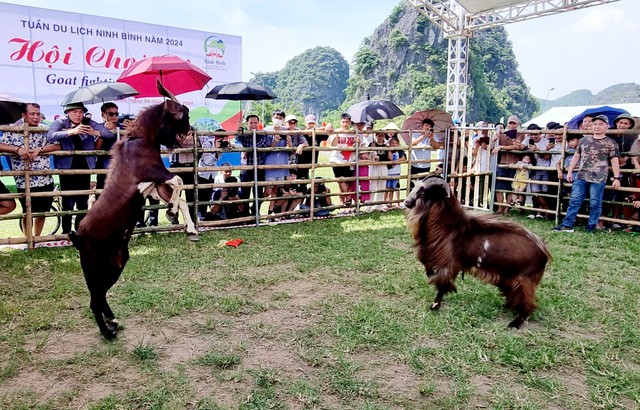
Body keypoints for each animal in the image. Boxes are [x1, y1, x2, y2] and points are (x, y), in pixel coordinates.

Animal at [67, 80, 198, 340]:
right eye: (184, 114)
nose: (190, 130)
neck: (140, 140)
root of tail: (78, 237)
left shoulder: (155, 185)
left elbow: (179, 197)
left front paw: (188, 227)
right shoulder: (154, 175)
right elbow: (179, 181)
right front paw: (171, 213)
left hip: (115, 264)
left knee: (99, 296)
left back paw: (112, 321)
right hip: (94, 266)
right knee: (94, 300)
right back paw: (107, 332)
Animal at [404, 175, 552, 328]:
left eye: (423, 192)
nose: (406, 202)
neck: (452, 228)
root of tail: (544, 251)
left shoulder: (449, 264)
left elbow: (441, 286)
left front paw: (434, 306)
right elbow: (431, 273)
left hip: (525, 280)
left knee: (529, 303)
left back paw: (516, 322)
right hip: (511, 278)